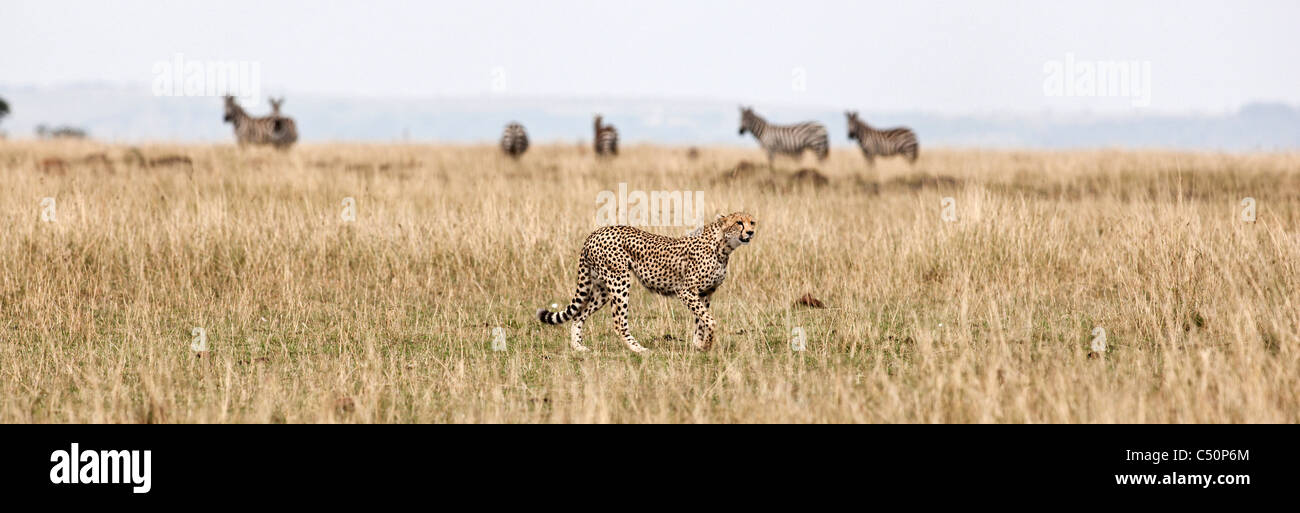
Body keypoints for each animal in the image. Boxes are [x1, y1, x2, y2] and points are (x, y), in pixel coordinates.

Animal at [538, 212, 759, 353]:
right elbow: (710, 320)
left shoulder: (705, 293)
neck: (723, 246)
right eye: (739, 222)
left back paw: (578, 347)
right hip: (619, 280)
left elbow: (701, 321)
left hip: (602, 289)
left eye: (752, 222)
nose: (750, 233)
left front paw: (699, 345)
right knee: (618, 322)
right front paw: (706, 345)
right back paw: (638, 349)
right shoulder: (686, 291)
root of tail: (595, 232)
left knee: (579, 314)